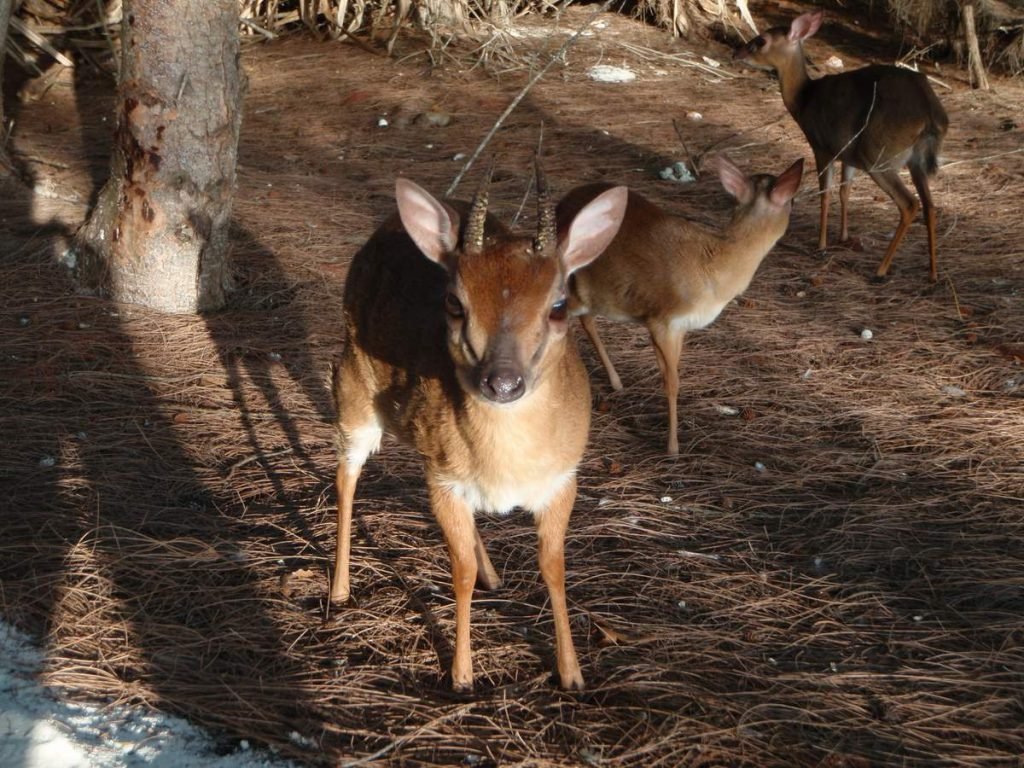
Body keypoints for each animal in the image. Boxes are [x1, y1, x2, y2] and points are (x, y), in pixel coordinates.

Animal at [331, 165, 626, 696]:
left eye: (559, 306)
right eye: (454, 302)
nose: (502, 381)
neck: (509, 462)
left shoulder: (562, 477)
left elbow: (553, 567)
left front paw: (572, 673)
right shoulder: (444, 481)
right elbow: (460, 570)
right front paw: (462, 674)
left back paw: (495, 575)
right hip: (353, 387)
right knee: (346, 477)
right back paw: (339, 589)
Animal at [557, 156, 802, 456]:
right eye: (793, 200)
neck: (718, 267)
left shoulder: (680, 325)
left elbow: (672, 375)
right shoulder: (663, 319)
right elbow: (671, 383)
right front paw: (672, 446)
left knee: (586, 319)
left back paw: (615, 382)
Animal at [733, 9, 946, 282]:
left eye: (761, 40)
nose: (736, 52)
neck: (803, 100)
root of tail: (930, 116)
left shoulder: (821, 146)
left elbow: (826, 194)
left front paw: (821, 245)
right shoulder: (847, 155)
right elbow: (846, 191)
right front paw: (843, 237)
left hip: (877, 155)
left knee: (910, 204)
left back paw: (880, 270)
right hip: (913, 161)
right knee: (930, 206)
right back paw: (933, 274)